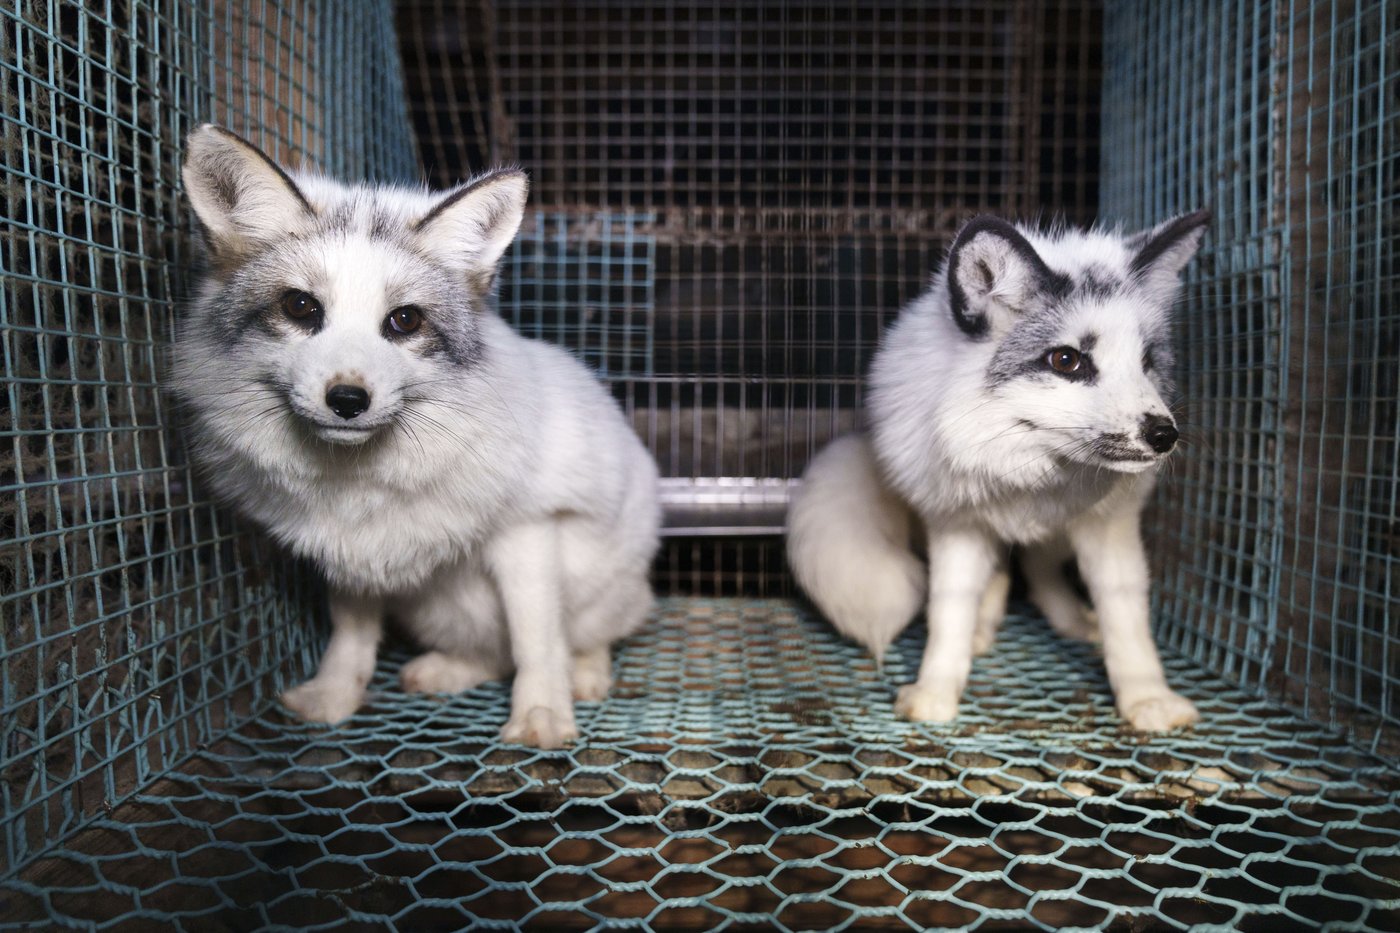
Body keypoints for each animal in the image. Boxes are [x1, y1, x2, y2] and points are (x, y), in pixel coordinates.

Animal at [171, 125, 661, 748]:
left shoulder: (528, 532)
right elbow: (351, 636)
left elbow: (536, 641)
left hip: (604, 592)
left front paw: (541, 714)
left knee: (576, 639)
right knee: (491, 656)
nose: (348, 400)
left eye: (404, 321)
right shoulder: (351, 554)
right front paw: (336, 695)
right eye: (300, 306)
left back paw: (586, 674)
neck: (360, 478)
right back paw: (445, 671)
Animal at [786, 211, 1211, 731]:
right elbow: (948, 611)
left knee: (1036, 567)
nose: (1164, 435)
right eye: (1066, 360)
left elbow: (1125, 617)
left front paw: (1148, 696)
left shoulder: (1108, 525)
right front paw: (936, 690)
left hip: (1059, 536)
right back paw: (983, 629)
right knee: (1004, 574)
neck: (1028, 471)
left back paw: (1073, 621)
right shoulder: (956, 524)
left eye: (1147, 362)